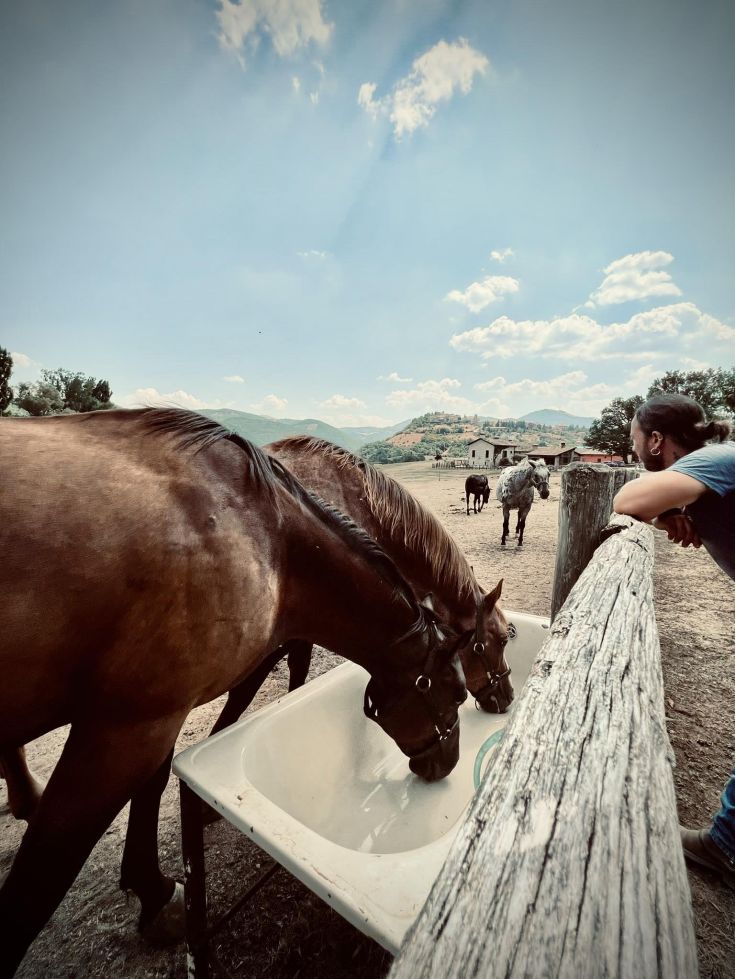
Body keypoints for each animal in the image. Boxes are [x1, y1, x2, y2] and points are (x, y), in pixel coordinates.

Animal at [0, 408, 469, 976]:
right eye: (458, 693)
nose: (447, 763)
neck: (271, 544)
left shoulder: (159, 714)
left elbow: (152, 787)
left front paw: (152, 891)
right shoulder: (128, 729)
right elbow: (39, 880)